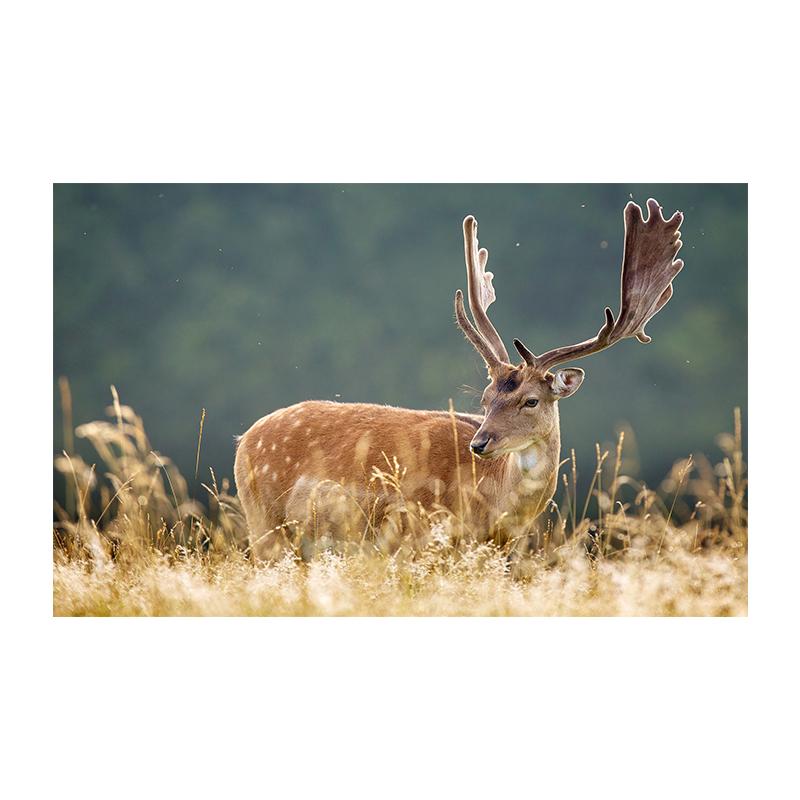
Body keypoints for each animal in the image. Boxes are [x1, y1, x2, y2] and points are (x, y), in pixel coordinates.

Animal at [234, 198, 685, 561]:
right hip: (265, 524)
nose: (480, 443)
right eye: (485, 399)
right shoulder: (417, 535)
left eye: (531, 400)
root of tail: (244, 440)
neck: (494, 509)